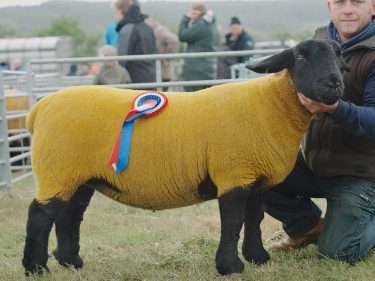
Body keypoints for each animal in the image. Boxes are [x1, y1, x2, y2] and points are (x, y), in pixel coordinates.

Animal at [21, 39, 350, 276]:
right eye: (300, 57)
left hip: (78, 176)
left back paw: (70, 262)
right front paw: (230, 267)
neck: (270, 105)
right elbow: (233, 222)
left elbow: (254, 219)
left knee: (69, 216)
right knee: (40, 215)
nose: (334, 83)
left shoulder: (257, 179)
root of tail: (39, 108)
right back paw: (36, 267)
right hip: (56, 170)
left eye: (338, 56)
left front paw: (258, 258)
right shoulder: (233, 175)